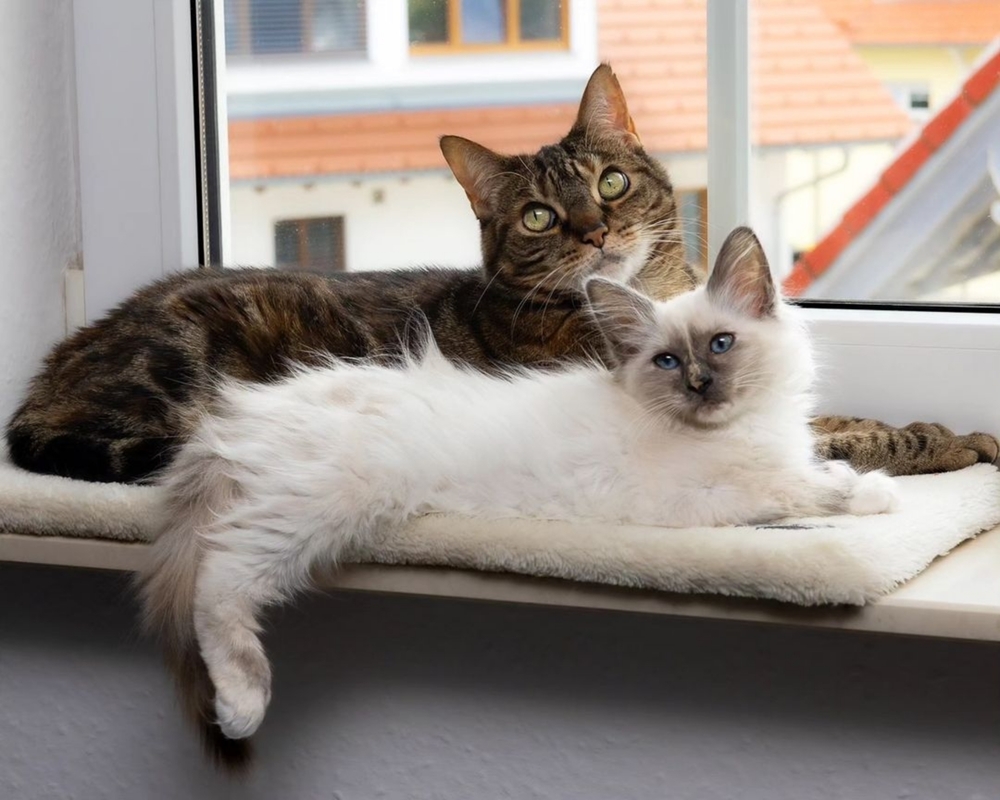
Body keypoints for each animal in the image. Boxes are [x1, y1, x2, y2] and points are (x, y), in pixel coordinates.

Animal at [3, 64, 996, 482]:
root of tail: (55, 368)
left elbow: (835, 414)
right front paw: (944, 438)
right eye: (539, 217)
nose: (595, 230)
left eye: (609, 181)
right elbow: (842, 433)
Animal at [139, 225, 900, 768]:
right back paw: (242, 706)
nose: (699, 386)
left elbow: (809, 474)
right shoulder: (709, 498)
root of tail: (236, 415)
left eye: (720, 345)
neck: (732, 429)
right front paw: (874, 492)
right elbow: (806, 490)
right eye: (667, 361)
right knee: (219, 584)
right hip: (313, 508)